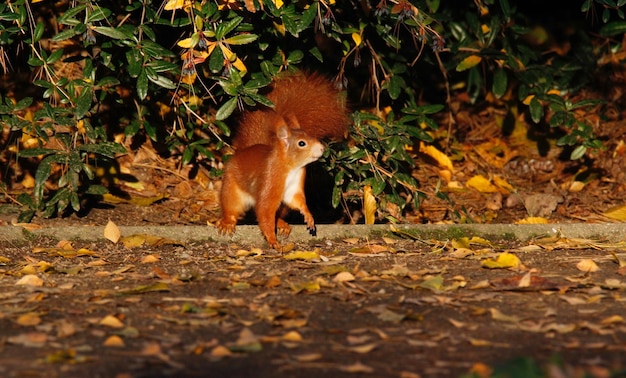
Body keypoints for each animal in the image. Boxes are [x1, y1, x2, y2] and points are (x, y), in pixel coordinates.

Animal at [217, 72, 348, 250]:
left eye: (310, 135)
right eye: (301, 143)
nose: (321, 148)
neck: (290, 167)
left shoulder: (295, 185)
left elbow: (297, 200)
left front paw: (308, 215)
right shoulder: (269, 181)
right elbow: (265, 211)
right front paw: (272, 240)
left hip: (283, 206)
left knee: (280, 213)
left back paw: (281, 223)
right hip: (232, 188)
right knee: (231, 205)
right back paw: (227, 221)